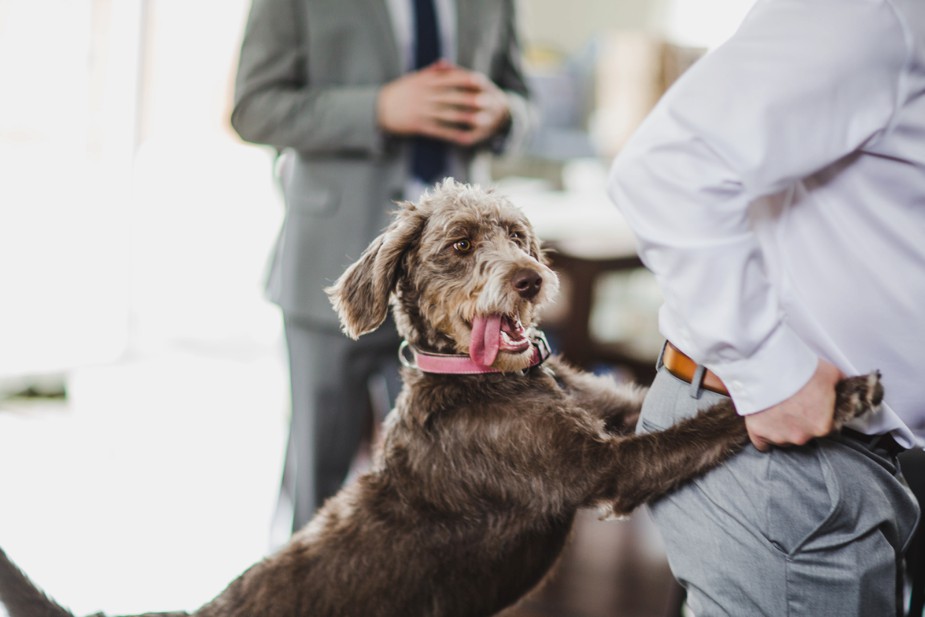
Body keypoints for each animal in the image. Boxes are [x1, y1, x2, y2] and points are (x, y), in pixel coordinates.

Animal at [0, 179, 880, 616]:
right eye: (459, 245)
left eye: (519, 235)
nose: (529, 278)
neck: (483, 381)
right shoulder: (607, 472)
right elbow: (703, 429)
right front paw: (835, 394)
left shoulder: (603, 411)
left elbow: (656, 405)